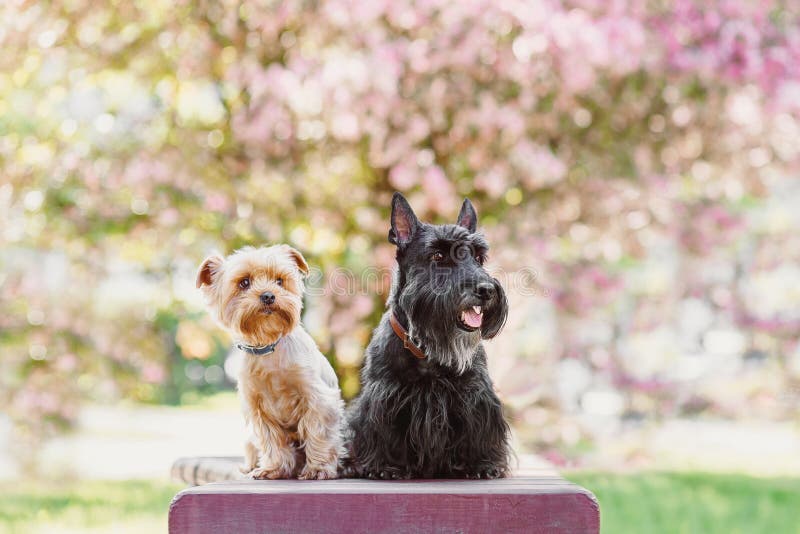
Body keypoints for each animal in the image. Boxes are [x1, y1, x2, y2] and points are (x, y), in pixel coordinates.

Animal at [197, 247, 344, 482]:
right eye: (244, 282)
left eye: (279, 281)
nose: (268, 295)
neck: (267, 345)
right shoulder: (258, 408)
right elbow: (271, 440)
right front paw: (274, 468)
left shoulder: (318, 398)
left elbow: (318, 431)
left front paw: (318, 468)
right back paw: (249, 466)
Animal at [342, 194, 506, 482]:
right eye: (438, 255)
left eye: (478, 257)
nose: (486, 289)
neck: (429, 349)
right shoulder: (385, 395)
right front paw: (386, 466)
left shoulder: (477, 394)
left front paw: (484, 464)